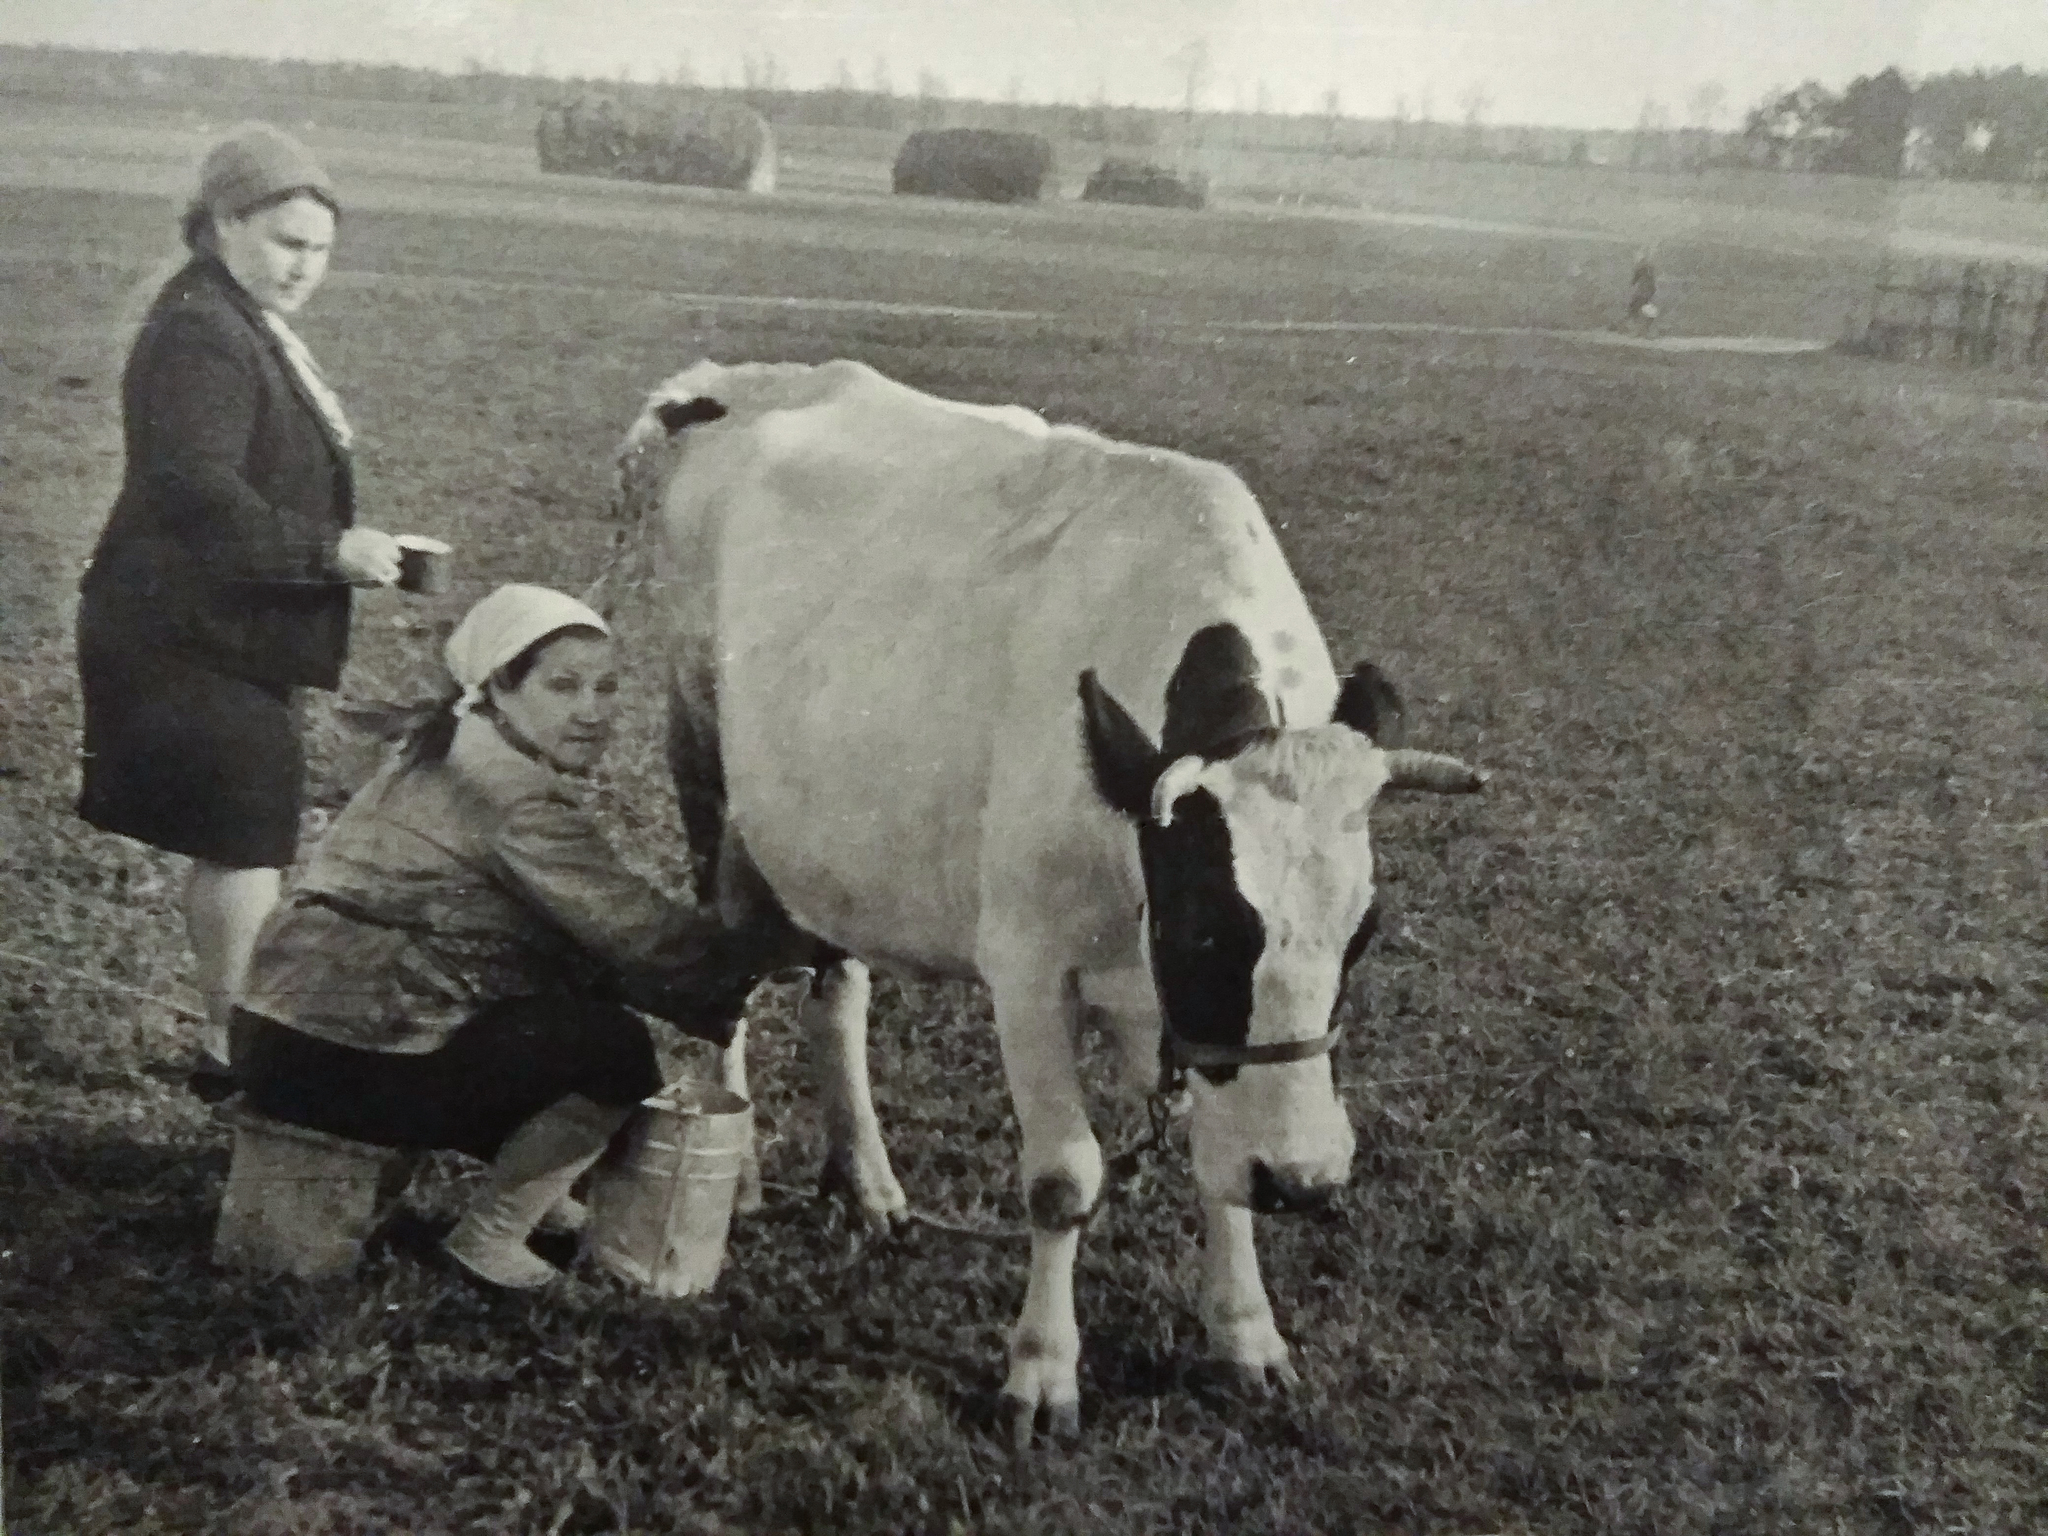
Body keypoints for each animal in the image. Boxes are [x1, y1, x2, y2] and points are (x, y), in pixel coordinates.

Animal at [610, 360, 1490, 1441]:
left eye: (1362, 935)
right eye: (1205, 932)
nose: (1307, 1179)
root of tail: (726, 382)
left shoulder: (1181, 1019)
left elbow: (1218, 1160)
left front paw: (1246, 1335)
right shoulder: (1027, 968)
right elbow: (1063, 1177)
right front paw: (1040, 1370)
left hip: (837, 831)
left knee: (838, 992)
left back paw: (868, 1182)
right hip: (704, 772)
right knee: (725, 980)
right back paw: (729, 1175)